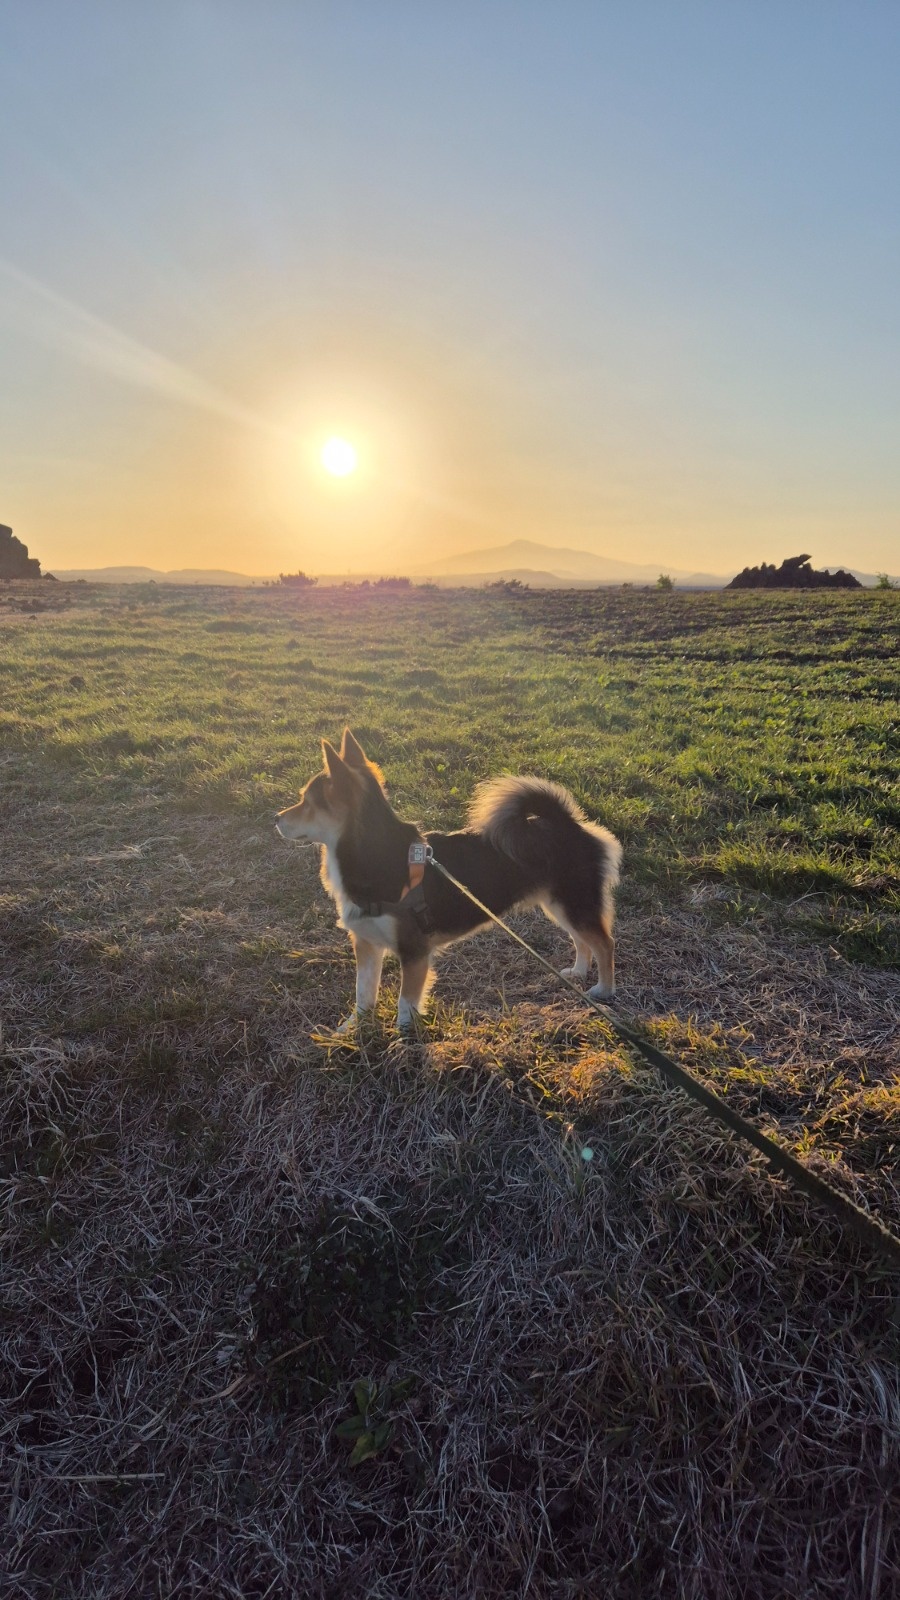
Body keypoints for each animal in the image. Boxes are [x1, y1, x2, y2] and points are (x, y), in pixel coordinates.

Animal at [277, 732, 621, 1030]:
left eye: (306, 802)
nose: (276, 818)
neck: (374, 857)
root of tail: (568, 824)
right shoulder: (366, 943)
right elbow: (363, 994)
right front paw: (350, 1030)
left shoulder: (414, 952)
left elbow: (405, 1003)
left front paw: (404, 1041)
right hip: (560, 905)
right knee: (581, 940)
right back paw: (578, 972)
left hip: (574, 902)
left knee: (604, 944)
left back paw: (604, 989)